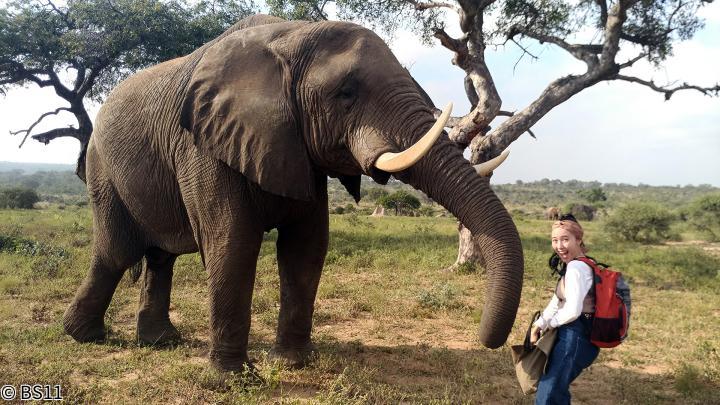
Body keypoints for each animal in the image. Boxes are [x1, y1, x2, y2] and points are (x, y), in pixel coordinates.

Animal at [63, 14, 524, 370]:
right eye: (346, 94)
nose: (489, 339)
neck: (288, 36)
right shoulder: (202, 145)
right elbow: (233, 242)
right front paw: (231, 377)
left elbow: (306, 246)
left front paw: (291, 363)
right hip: (103, 168)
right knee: (117, 251)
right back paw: (83, 337)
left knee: (159, 258)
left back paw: (160, 343)